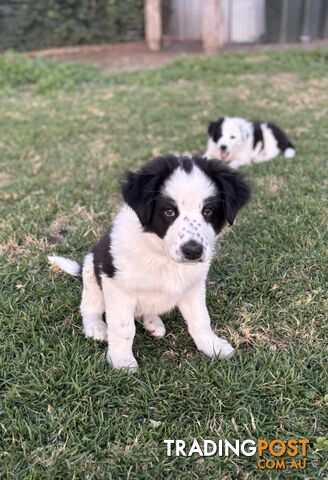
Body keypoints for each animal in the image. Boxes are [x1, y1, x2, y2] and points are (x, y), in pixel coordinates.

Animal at [48, 156, 250, 370]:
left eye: (208, 211)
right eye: (169, 212)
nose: (193, 251)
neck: (162, 255)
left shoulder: (194, 285)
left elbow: (200, 318)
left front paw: (212, 345)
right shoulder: (118, 288)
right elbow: (123, 328)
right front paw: (122, 360)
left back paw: (153, 322)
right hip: (92, 270)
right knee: (90, 307)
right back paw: (96, 327)